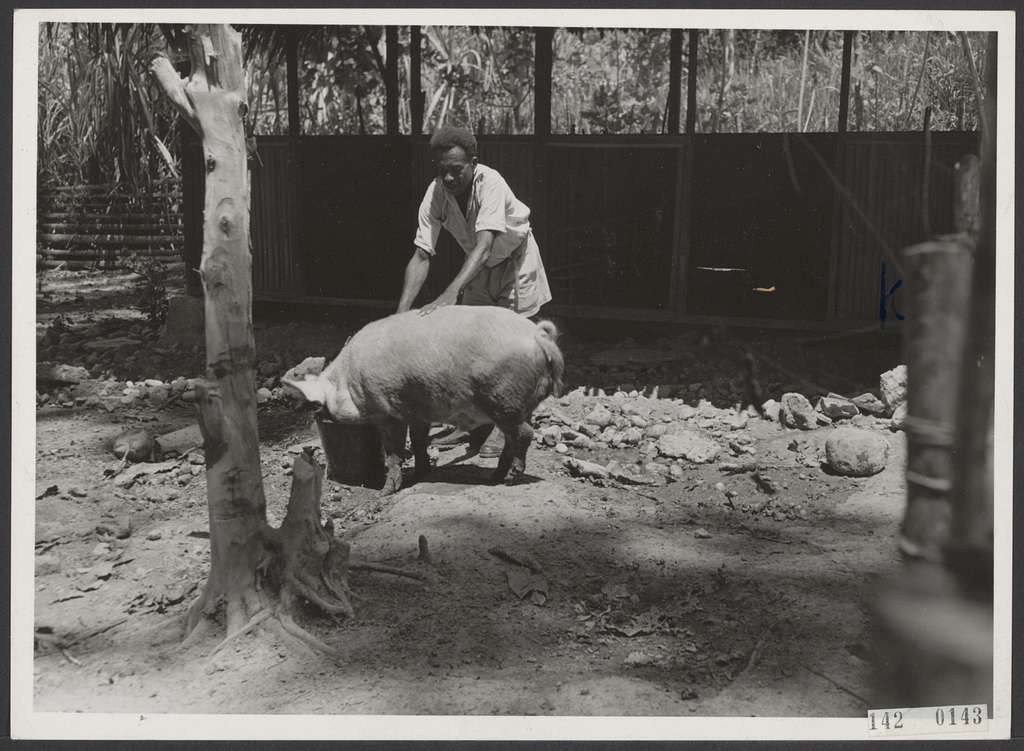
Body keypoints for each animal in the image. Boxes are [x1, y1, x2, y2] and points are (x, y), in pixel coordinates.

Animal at [284, 305, 565, 491]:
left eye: (320, 406)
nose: (319, 417)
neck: (349, 381)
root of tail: (539, 337)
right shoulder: (418, 411)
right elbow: (419, 441)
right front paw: (421, 473)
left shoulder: (388, 411)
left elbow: (394, 450)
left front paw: (387, 490)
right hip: (520, 404)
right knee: (514, 437)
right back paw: (494, 477)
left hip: (505, 401)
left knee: (525, 433)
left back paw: (511, 477)